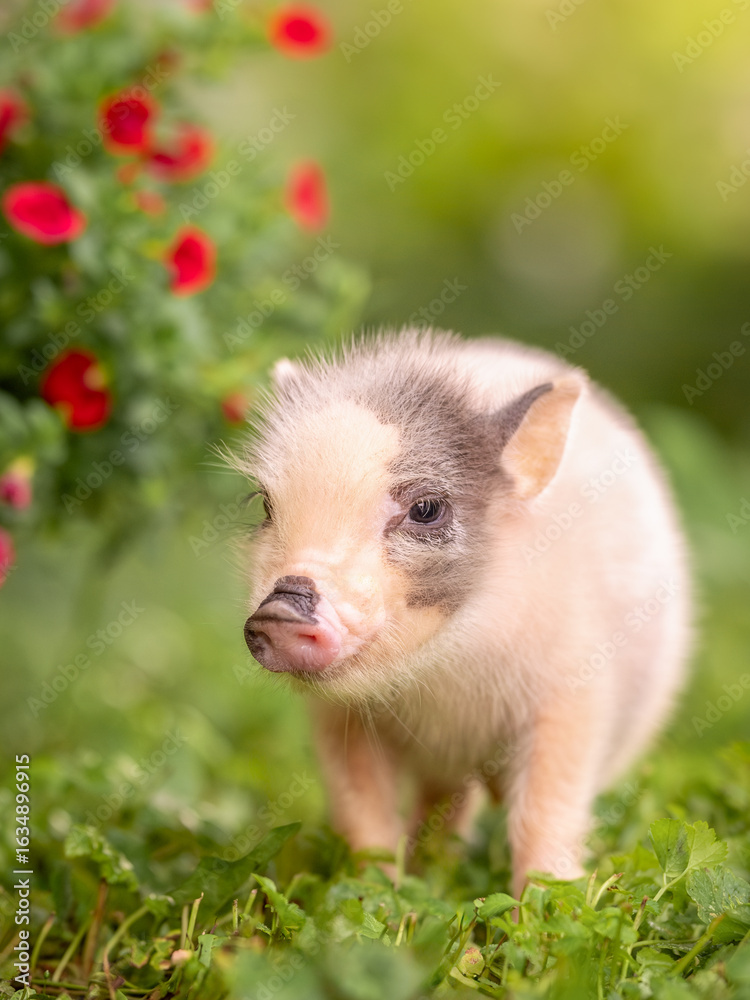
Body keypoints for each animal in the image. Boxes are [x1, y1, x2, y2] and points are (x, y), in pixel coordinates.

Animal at [234, 328, 691, 896]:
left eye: (427, 509)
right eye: (266, 507)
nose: (280, 607)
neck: (444, 685)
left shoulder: (573, 696)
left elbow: (545, 811)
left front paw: (544, 904)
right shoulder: (341, 720)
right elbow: (364, 816)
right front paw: (379, 895)